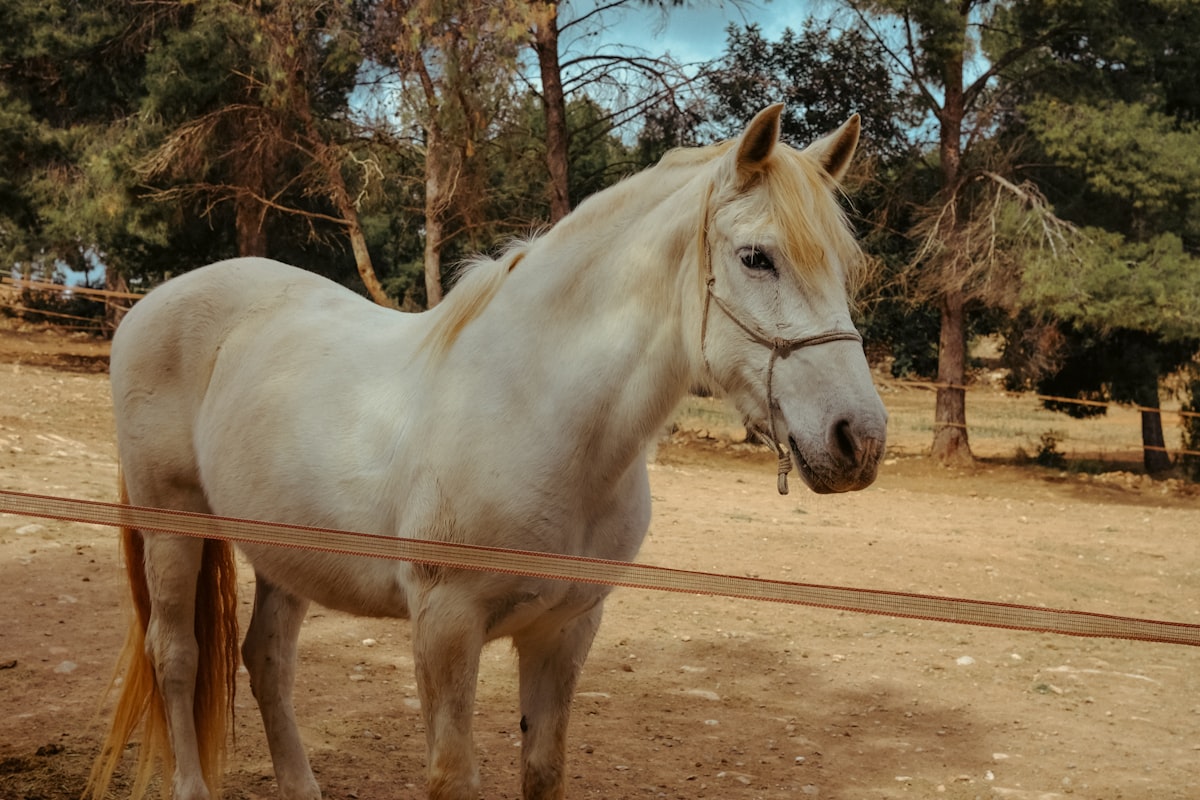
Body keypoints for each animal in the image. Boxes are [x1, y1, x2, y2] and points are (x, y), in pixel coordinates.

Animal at [87, 104, 887, 800]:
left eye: (845, 267)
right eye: (757, 258)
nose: (860, 439)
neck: (536, 413)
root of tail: (151, 305)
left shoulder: (566, 631)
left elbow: (543, 772)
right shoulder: (446, 626)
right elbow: (454, 777)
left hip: (287, 553)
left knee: (267, 662)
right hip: (172, 528)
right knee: (178, 657)